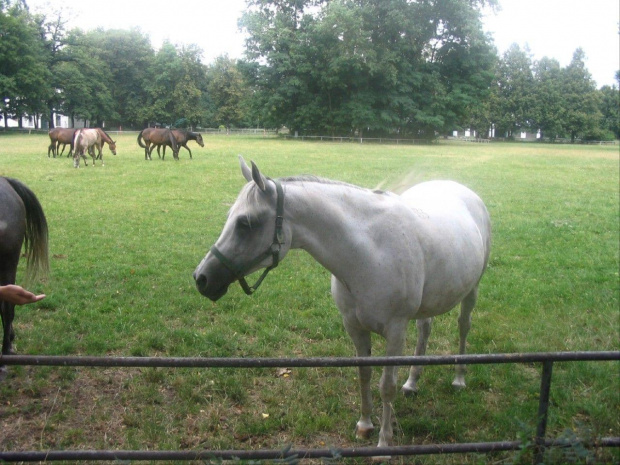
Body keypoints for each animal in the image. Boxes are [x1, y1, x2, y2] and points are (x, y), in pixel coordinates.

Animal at [191, 157, 492, 454]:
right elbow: (364, 375)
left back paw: (459, 378)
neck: (369, 251)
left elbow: (386, 387)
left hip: (473, 290)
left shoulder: (395, 331)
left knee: (464, 326)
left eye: (245, 223)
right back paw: (412, 383)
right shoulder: (355, 327)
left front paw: (384, 442)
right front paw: (364, 425)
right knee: (424, 330)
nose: (202, 278)